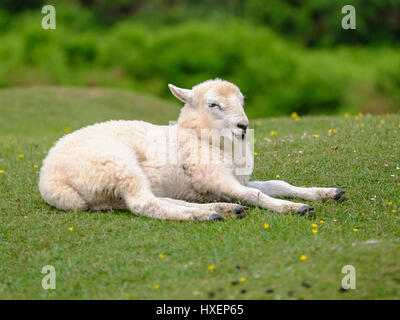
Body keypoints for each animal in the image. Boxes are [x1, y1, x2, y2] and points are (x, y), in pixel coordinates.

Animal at [39, 79, 344, 221]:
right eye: (213, 104)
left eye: (242, 100)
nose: (243, 126)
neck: (201, 139)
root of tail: (50, 180)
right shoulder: (215, 177)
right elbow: (255, 194)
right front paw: (294, 208)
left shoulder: (233, 178)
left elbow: (277, 184)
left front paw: (326, 193)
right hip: (116, 164)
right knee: (144, 204)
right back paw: (205, 214)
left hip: (110, 192)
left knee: (159, 199)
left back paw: (223, 209)